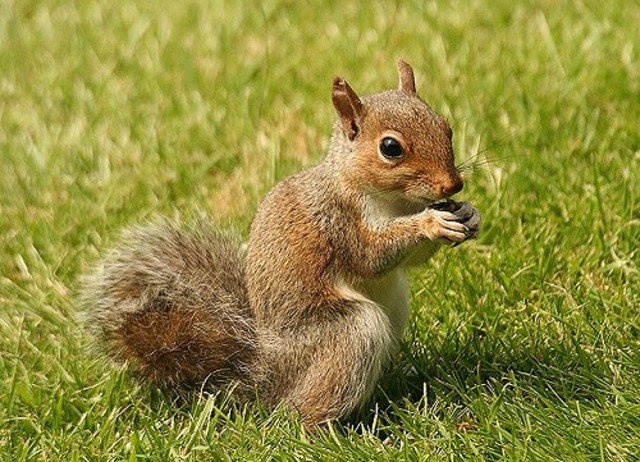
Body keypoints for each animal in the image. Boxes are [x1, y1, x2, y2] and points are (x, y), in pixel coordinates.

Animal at [82, 59, 481, 426]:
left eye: (446, 127)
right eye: (390, 148)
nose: (453, 185)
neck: (395, 202)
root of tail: (265, 370)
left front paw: (468, 213)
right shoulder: (338, 222)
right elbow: (372, 256)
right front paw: (430, 222)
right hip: (348, 332)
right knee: (301, 407)